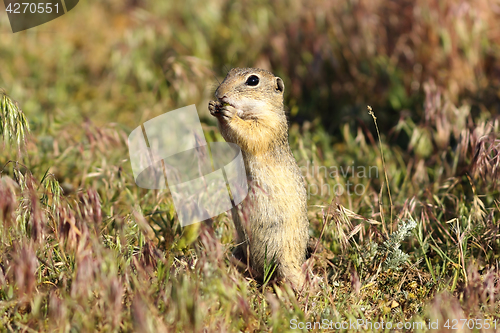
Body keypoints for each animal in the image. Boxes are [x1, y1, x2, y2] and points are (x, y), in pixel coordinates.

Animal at [207, 67, 308, 288]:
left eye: (253, 81)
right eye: (229, 72)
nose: (219, 94)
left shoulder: (268, 126)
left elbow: (251, 134)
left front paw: (229, 114)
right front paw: (213, 107)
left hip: (284, 260)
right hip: (239, 249)